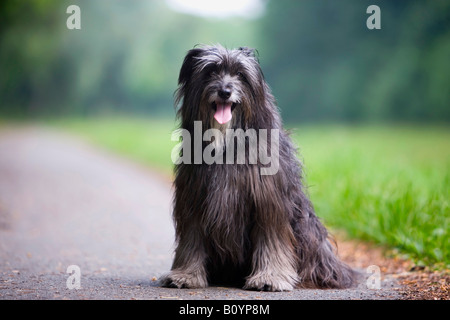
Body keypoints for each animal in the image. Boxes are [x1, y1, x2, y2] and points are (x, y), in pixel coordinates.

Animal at [161, 43, 356, 292]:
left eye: (240, 75)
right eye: (211, 71)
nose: (225, 91)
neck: (228, 142)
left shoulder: (268, 201)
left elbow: (272, 240)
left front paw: (269, 278)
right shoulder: (193, 200)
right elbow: (191, 240)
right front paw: (186, 275)